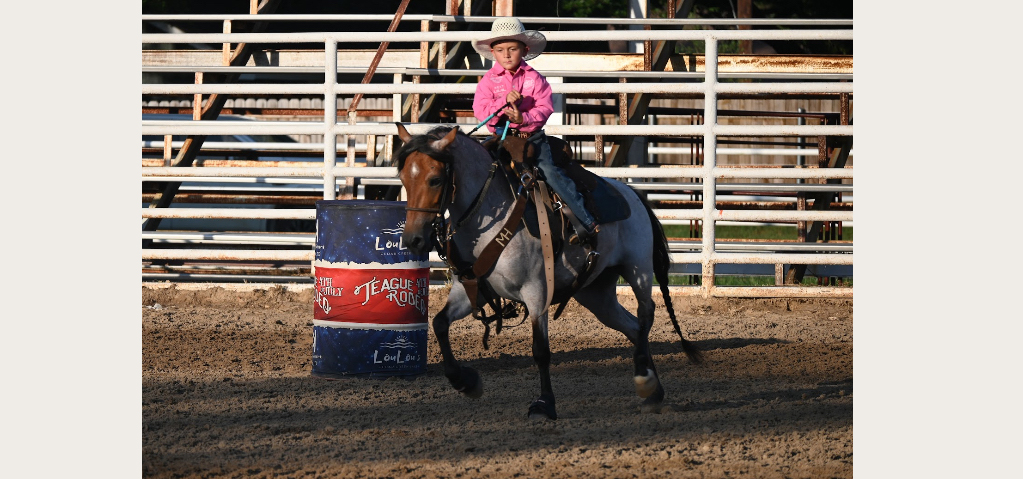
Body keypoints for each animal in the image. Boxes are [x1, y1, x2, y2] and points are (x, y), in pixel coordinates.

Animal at [392, 122, 703, 419]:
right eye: (404, 178)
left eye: (435, 180)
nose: (413, 240)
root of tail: (632, 194)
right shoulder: (471, 290)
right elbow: (439, 323)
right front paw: (465, 381)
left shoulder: (537, 293)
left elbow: (541, 351)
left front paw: (544, 404)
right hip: (596, 294)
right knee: (633, 326)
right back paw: (652, 389)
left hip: (638, 267)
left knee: (646, 312)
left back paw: (645, 378)